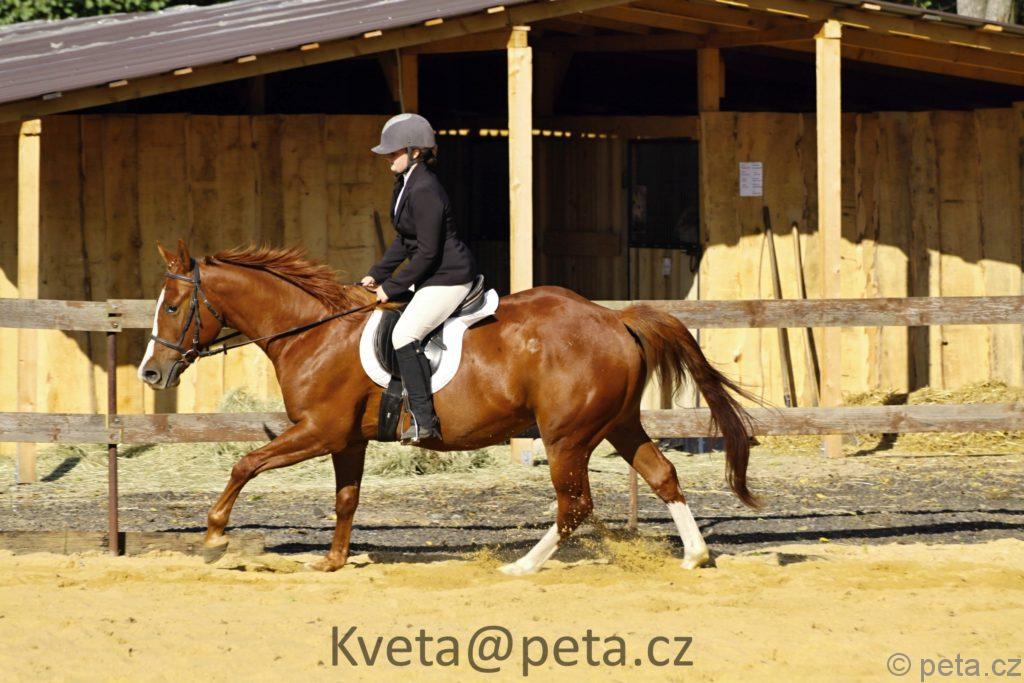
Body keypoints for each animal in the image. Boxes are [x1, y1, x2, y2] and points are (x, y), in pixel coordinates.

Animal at [137, 240, 757, 573]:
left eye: (172, 306)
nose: (149, 373)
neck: (313, 331)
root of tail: (614, 318)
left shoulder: (319, 431)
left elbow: (246, 464)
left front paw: (215, 536)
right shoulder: (348, 439)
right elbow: (346, 500)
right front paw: (333, 561)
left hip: (566, 437)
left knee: (574, 505)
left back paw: (521, 566)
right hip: (617, 424)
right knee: (662, 474)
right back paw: (695, 556)